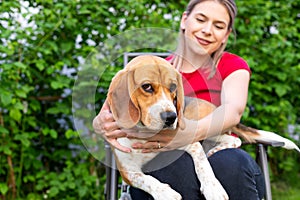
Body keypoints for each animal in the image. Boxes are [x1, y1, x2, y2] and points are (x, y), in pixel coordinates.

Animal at [106, 54, 300, 200]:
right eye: (146, 87)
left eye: (173, 87)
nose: (171, 117)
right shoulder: (127, 171)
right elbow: (145, 180)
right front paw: (165, 193)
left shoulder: (189, 142)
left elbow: (202, 164)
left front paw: (213, 188)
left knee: (233, 139)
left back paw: (215, 150)